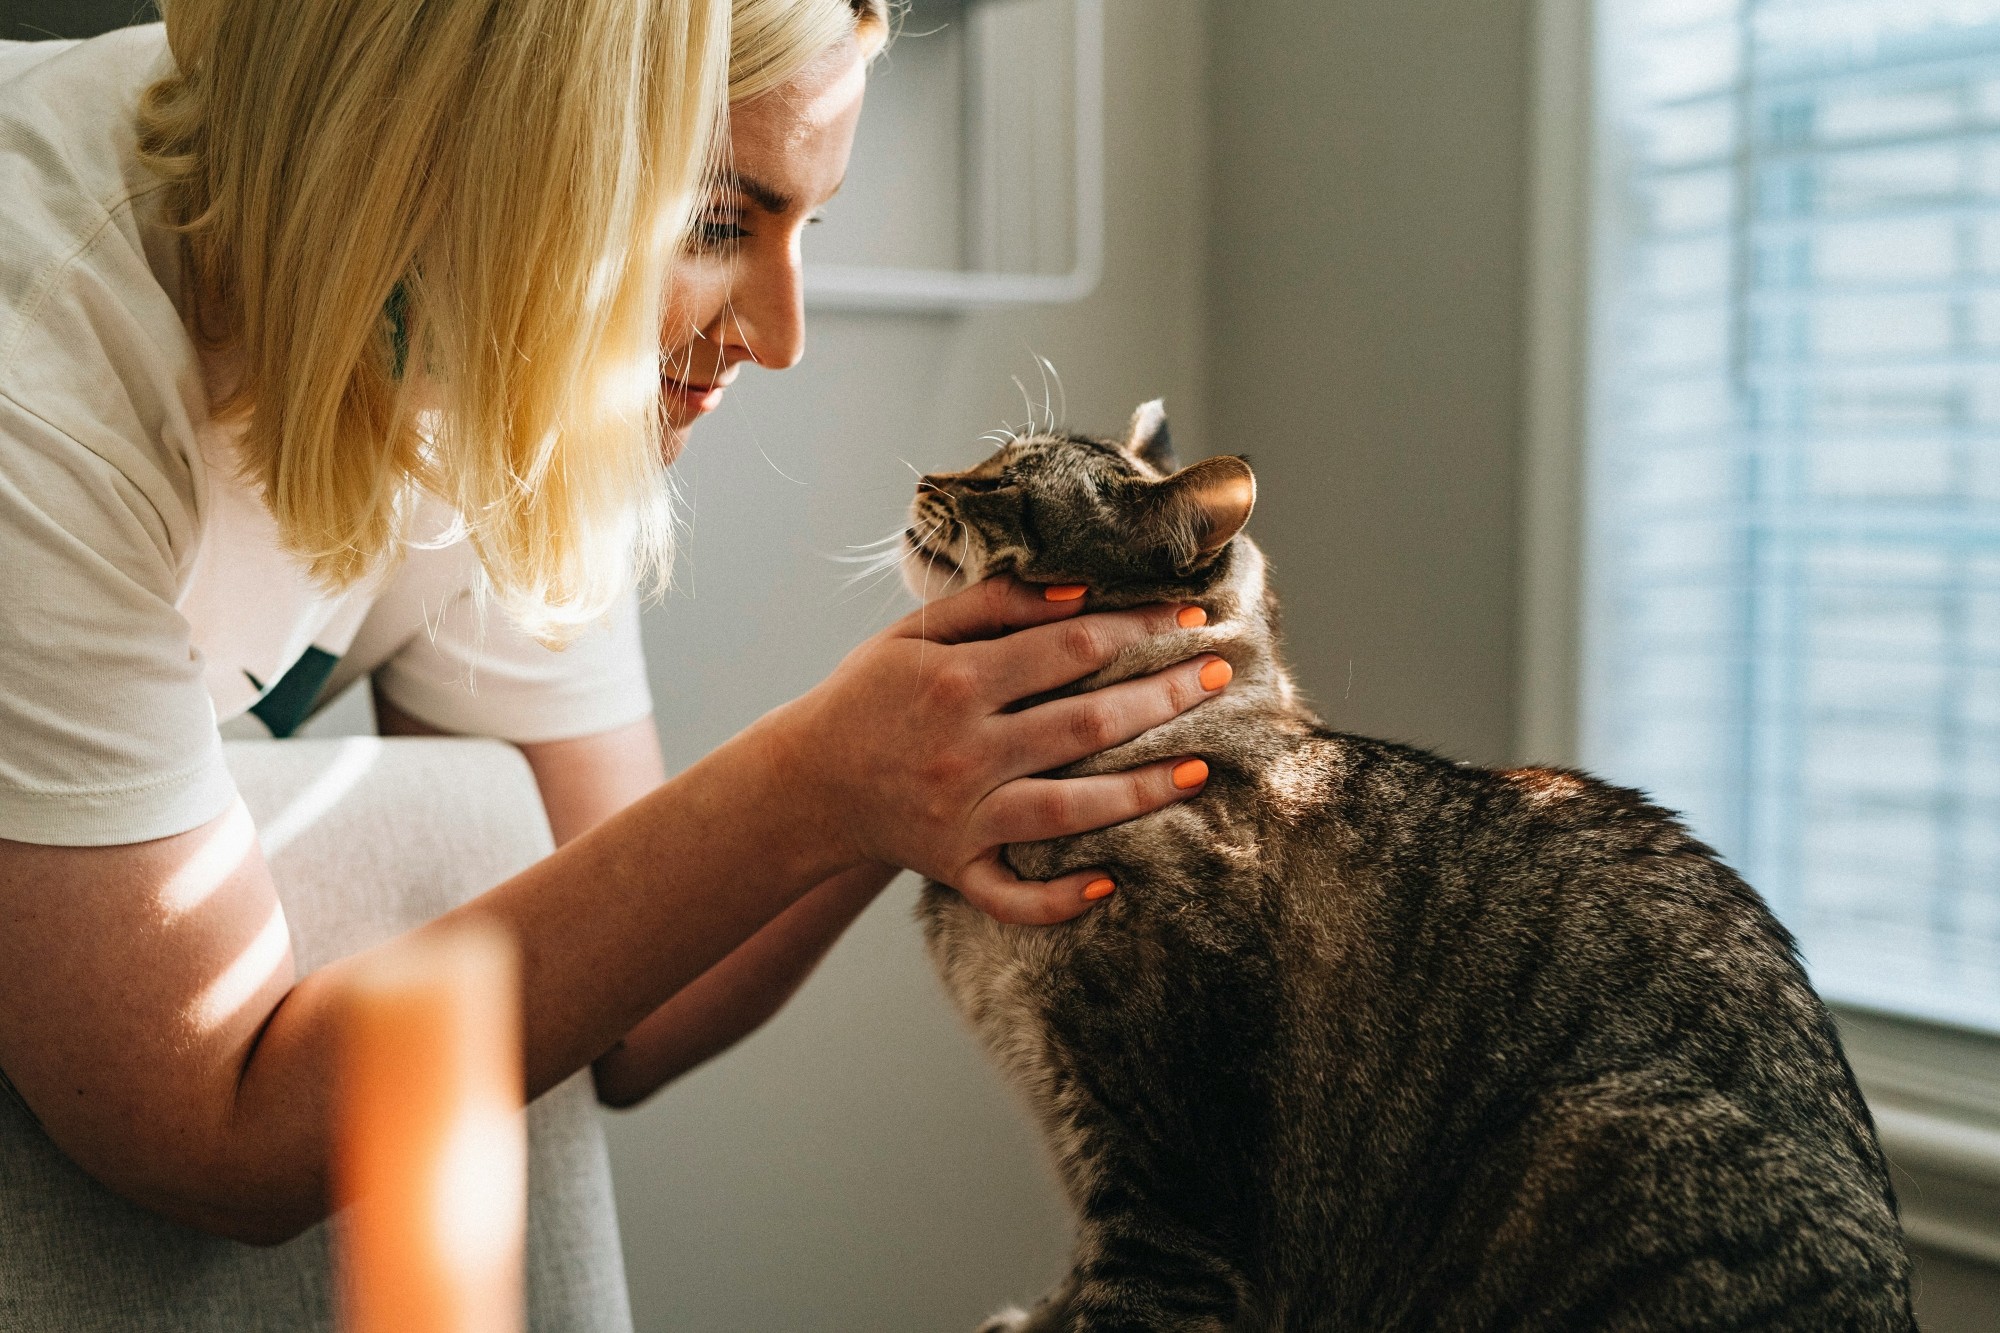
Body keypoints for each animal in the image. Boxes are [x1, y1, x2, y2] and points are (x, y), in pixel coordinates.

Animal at [912, 402, 1920, 1328]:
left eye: (1004, 482)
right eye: (988, 462)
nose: (926, 477)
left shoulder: (1171, 1181)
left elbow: (1122, 1297)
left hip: (1587, 1142)